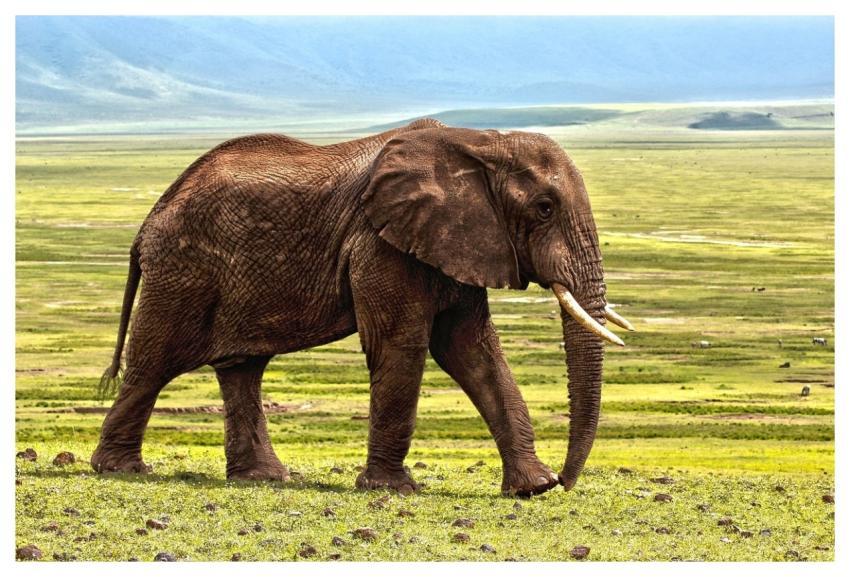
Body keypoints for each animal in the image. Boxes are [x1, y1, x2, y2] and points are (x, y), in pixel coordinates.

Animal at [91, 118, 634, 496]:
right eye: (544, 208)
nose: (566, 481)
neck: (479, 142)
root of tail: (148, 221)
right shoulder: (380, 243)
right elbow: (402, 345)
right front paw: (394, 490)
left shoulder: (457, 242)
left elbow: (473, 351)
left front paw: (532, 489)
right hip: (182, 270)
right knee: (154, 362)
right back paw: (120, 470)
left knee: (242, 368)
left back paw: (262, 479)